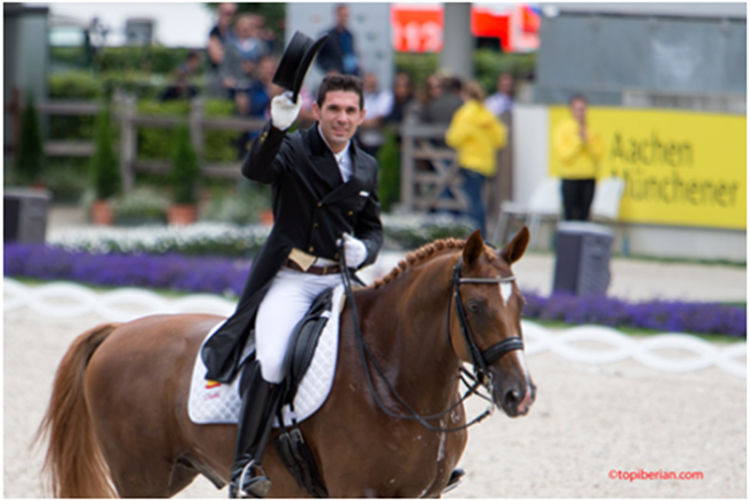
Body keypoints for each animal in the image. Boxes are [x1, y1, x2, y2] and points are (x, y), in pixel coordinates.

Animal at [38, 229, 536, 498]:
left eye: (522, 304)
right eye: (475, 307)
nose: (520, 395)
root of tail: (118, 331)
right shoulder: (356, 489)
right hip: (140, 477)